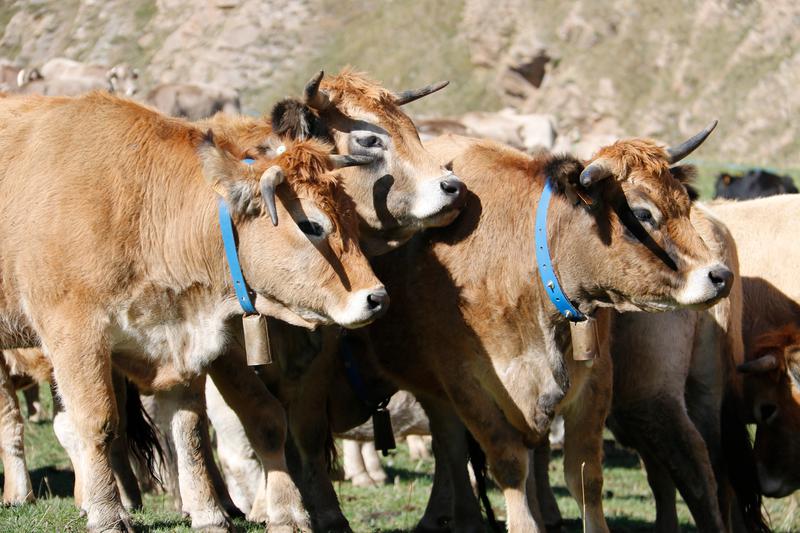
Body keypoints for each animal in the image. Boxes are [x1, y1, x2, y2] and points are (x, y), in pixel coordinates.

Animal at [0, 91, 385, 532]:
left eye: (351, 216)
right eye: (311, 225)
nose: (377, 297)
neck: (140, 205)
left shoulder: (177, 340)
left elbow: (190, 431)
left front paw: (209, 513)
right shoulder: (76, 337)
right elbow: (97, 423)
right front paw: (107, 515)